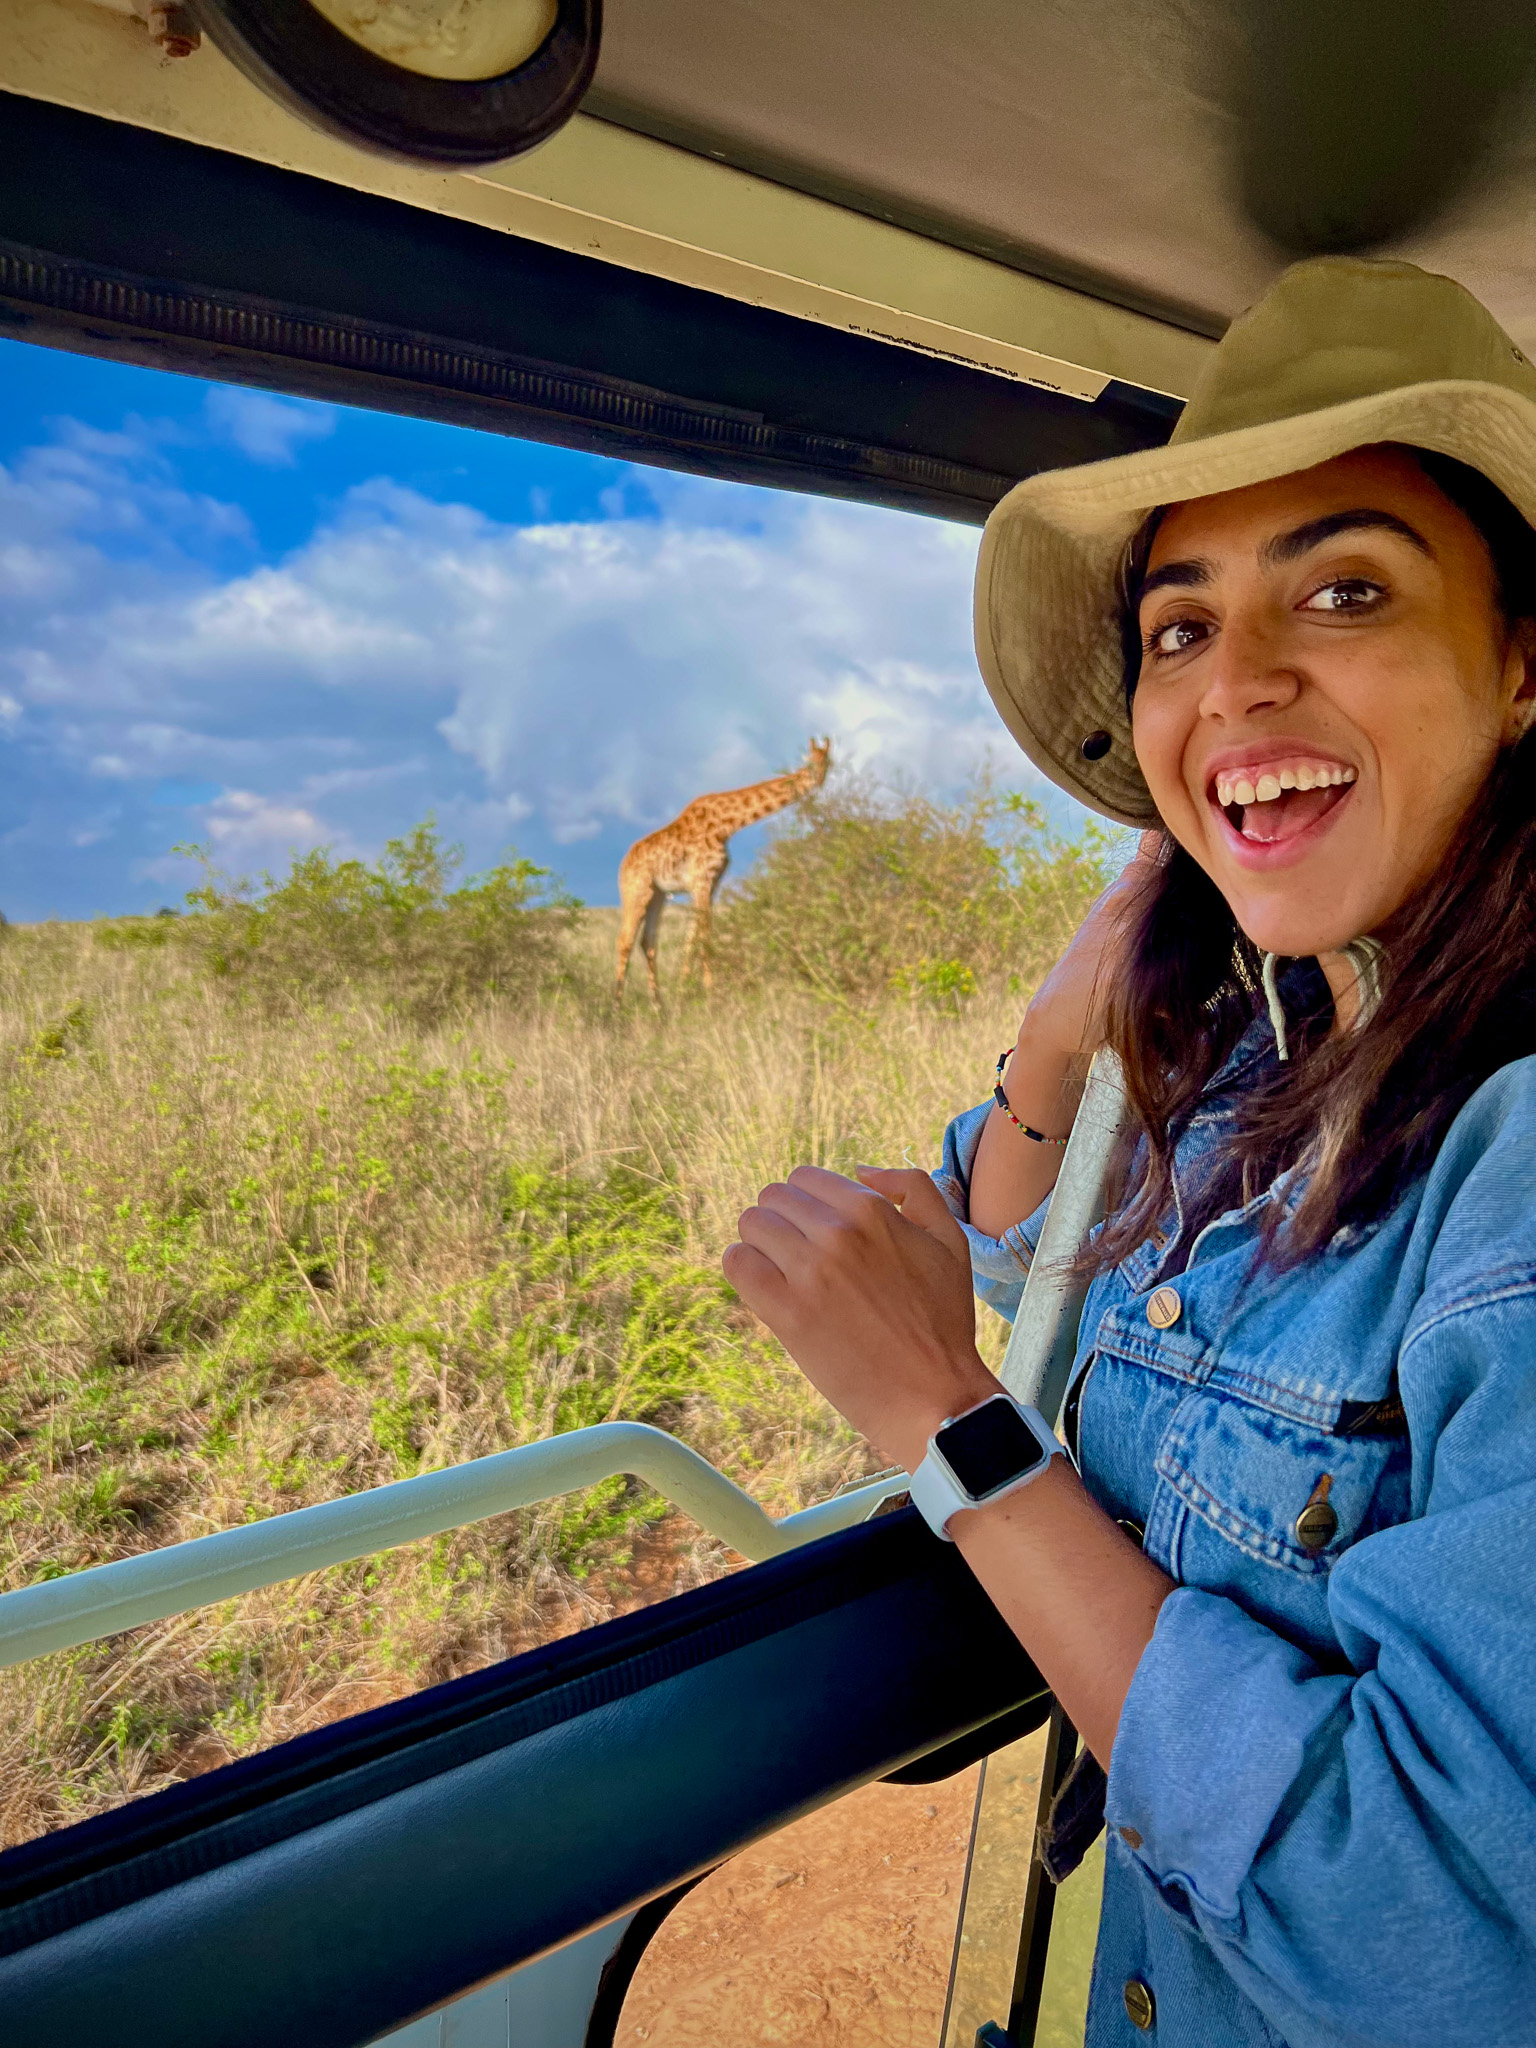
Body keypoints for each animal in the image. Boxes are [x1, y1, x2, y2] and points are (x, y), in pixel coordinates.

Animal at [618, 737, 835, 999]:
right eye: (810, 763)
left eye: (828, 762)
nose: (819, 780)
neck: (726, 825)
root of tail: (622, 867)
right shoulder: (701, 880)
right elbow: (705, 934)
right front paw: (711, 991)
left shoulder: (709, 884)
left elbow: (692, 936)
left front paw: (683, 991)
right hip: (637, 891)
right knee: (624, 941)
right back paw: (615, 1003)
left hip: (657, 895)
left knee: (647, 942)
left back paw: (658, 1005)